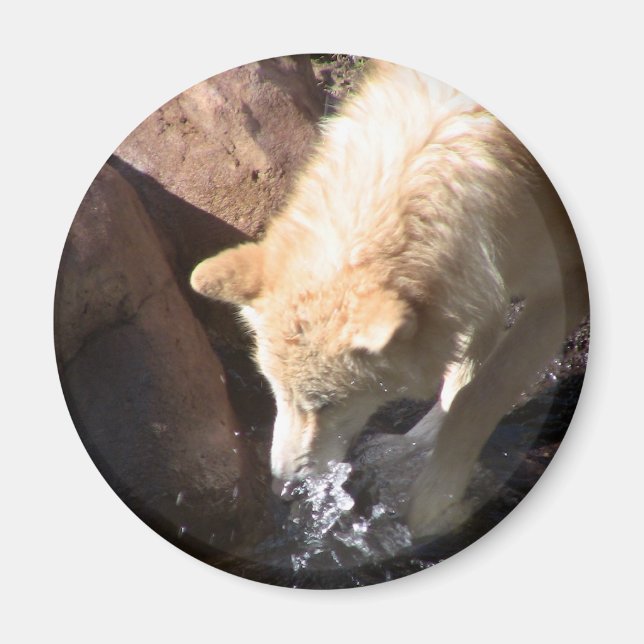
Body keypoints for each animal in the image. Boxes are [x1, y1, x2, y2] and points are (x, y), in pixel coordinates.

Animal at [190, 60, 588, 537]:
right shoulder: (479, 277)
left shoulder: (563, 285)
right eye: (275, 392)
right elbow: (460, 381)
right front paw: (410, 448)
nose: (285, 491)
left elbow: (482, 392)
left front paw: (434, 502)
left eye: (326, 404)